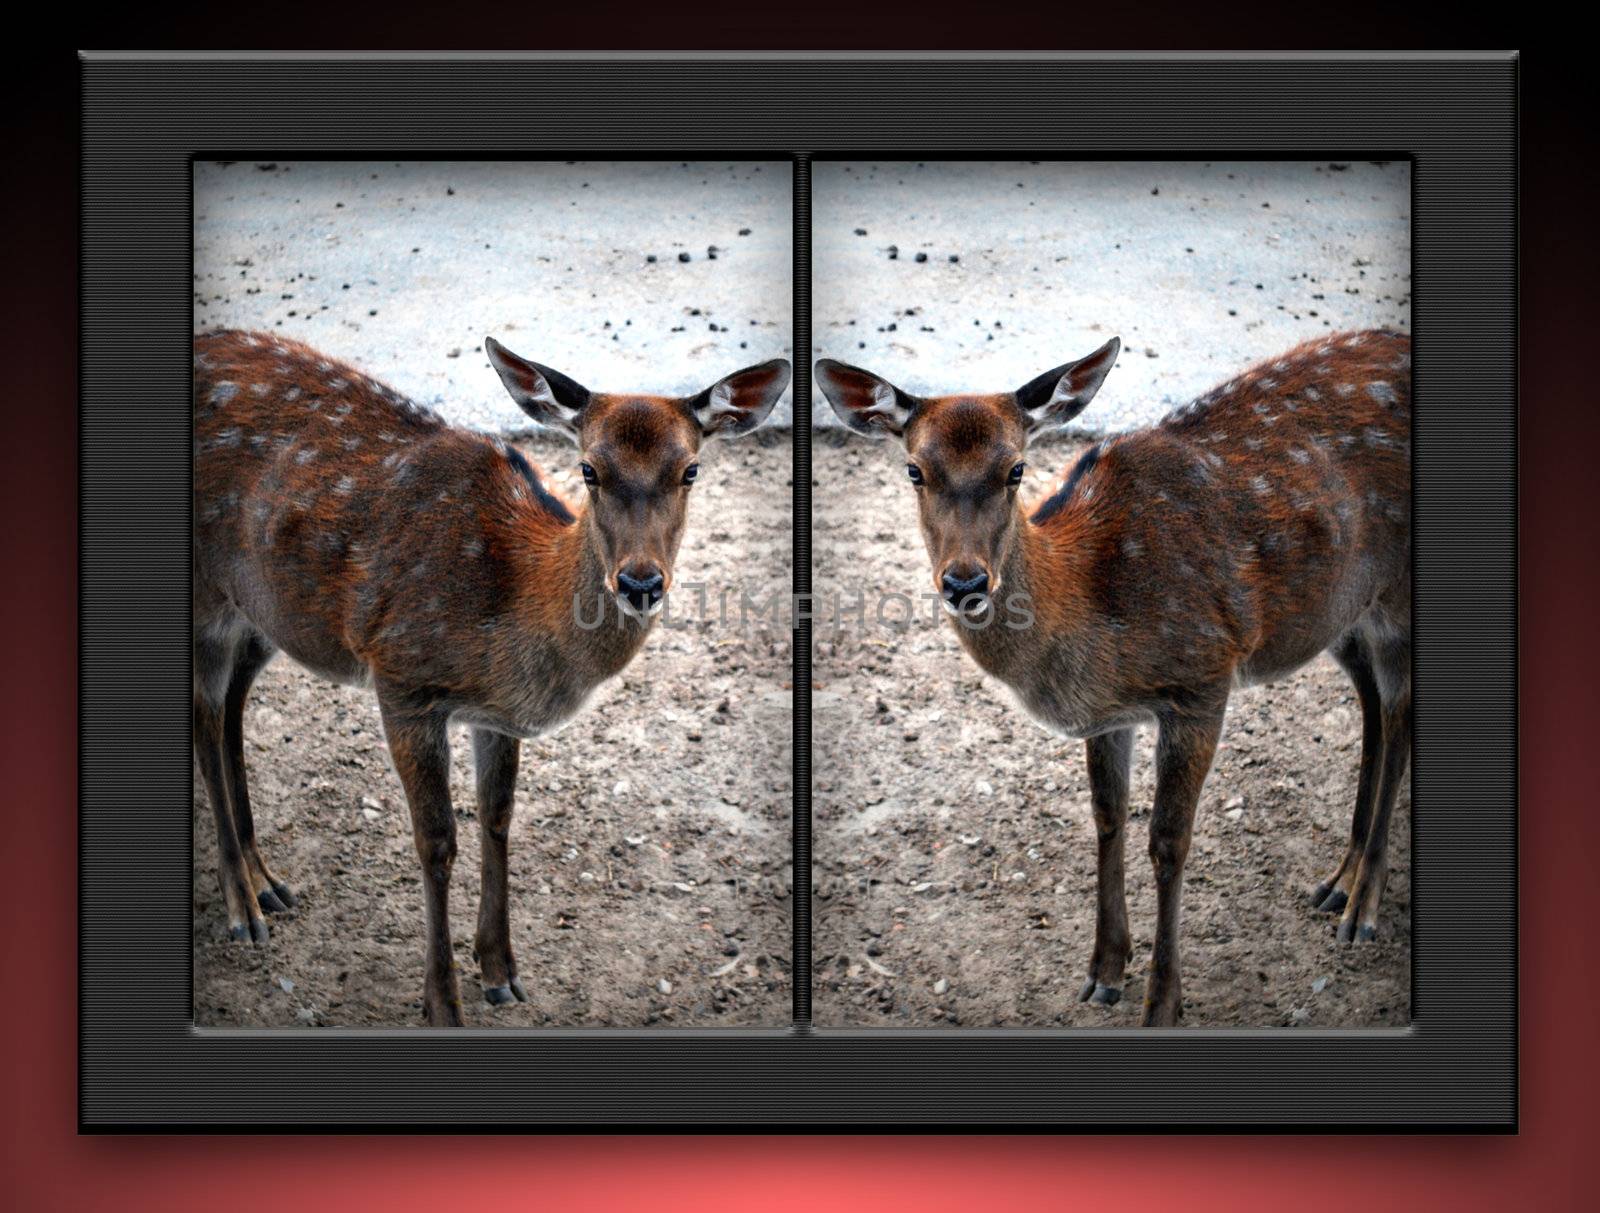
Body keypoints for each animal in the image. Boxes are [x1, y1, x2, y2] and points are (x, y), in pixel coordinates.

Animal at [193, 329, 787, 1024]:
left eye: (691, 470)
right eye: (589, 469)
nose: (640, 582)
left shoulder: (495, 716)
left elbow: (498, 817)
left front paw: (502, 972)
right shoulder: (402, 677)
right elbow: (436, 840)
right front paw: (442, 1003)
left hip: (265, 613)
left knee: (233, 704)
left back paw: (267, 881)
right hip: (210, 595)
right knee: (206, 715)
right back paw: (243, 908)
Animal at [825, 329, 1414, 1024]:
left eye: (1016, 469)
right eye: (914, 470)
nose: (965, 582)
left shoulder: (1202, 678)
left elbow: (1168, 841)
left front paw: (1162, 1002)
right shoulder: (1111, 717)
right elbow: (1107, 816)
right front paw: (1104, 971)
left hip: (1395, 597)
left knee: (1399, 717)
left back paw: (1364, 906)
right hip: (1340, 613)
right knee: (1372, 704)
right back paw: (1340, 881)